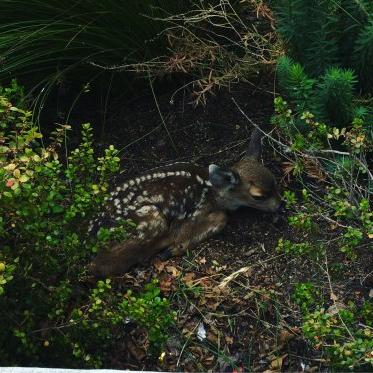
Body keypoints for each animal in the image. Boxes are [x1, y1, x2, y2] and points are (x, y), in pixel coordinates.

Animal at [89, 128, 282, 276]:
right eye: (258, 196)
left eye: (275, 182)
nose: (280, 205)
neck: (213, 193)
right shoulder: (193, 213)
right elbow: (220, 218)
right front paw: (177, 246)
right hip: (151, 217)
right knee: (102, 266)